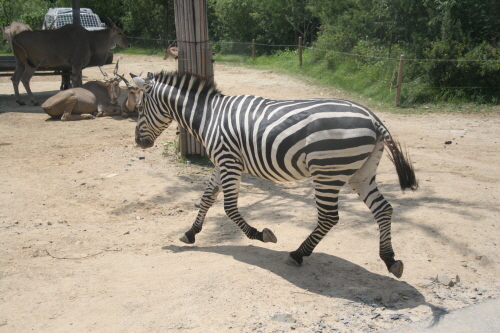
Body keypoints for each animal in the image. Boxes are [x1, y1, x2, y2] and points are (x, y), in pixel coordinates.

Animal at [134, 70, 418, 278]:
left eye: (138, 109)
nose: (139, 143)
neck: (209, 117)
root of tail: (373, 118)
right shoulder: (220, 163)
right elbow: (206, 198)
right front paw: (191, 232)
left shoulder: (228, 161)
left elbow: (229, 208)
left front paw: (260, 234)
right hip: (361, 172)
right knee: (383, 209)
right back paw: (390, 259)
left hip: (327, 172)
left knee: (329, 217)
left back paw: (298, 254)